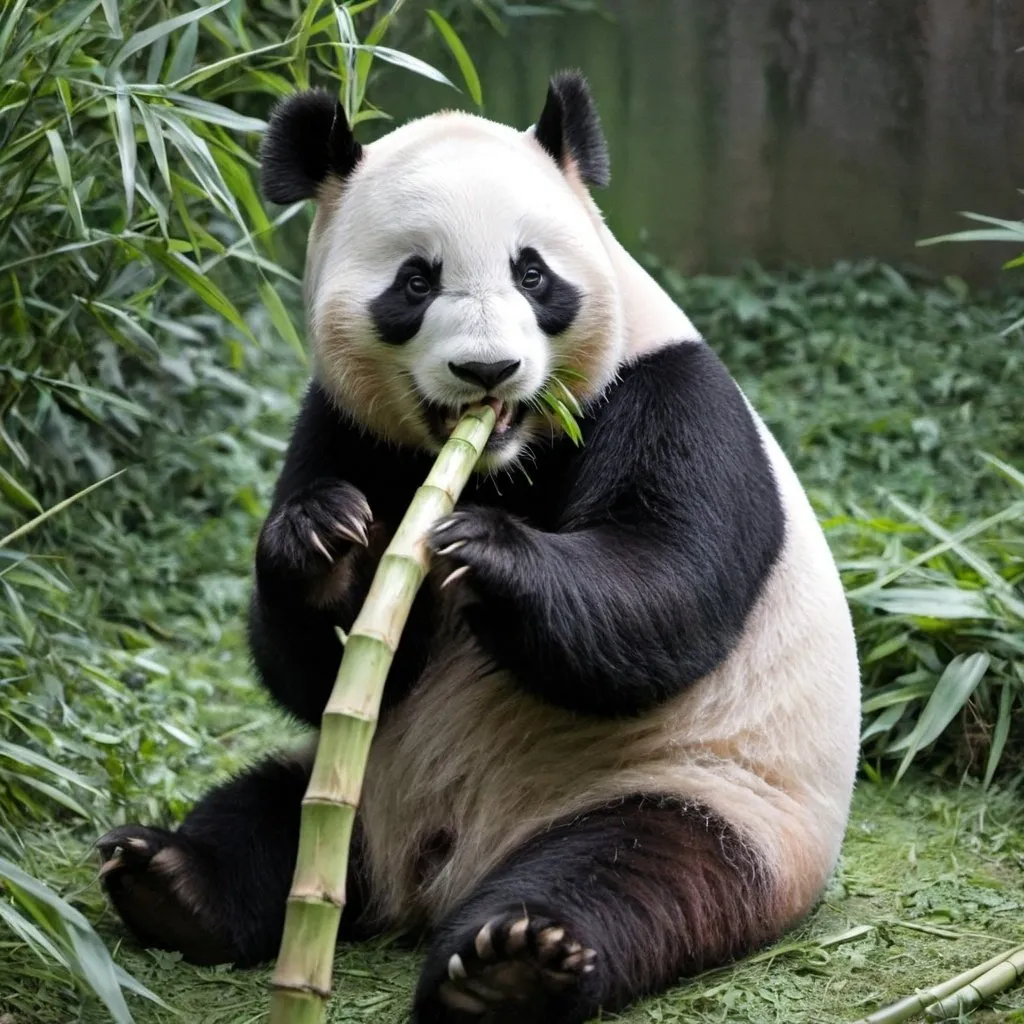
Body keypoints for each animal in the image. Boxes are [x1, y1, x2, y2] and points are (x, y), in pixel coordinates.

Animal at [99, 72, 860, 1024]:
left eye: (532, 273)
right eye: (416, 281)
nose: (487, 371)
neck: (500, 460)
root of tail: (424, 881)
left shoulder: (673, 396)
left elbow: (663, 594)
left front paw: (484, 549)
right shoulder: (343, 424)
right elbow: (315, 670)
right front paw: (322, 542)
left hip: (709, 798)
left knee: (631, 876)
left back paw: (513, 967)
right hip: (353, 785)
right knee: (265, 810)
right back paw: (170, 880)